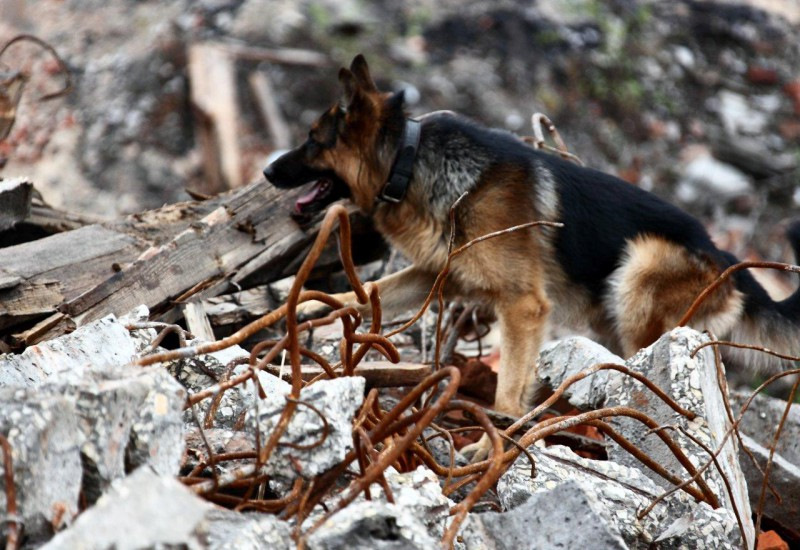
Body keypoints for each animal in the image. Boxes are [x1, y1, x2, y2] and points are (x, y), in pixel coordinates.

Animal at [266, 55, 800, 462]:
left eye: (313, 139)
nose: (269, 171)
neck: (409, 162)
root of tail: (727, 258)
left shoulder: (523, 308)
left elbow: (506, 392)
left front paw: (490, 446)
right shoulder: (438, 274)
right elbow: (375, 290)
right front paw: (305, 306)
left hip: (639, 273)